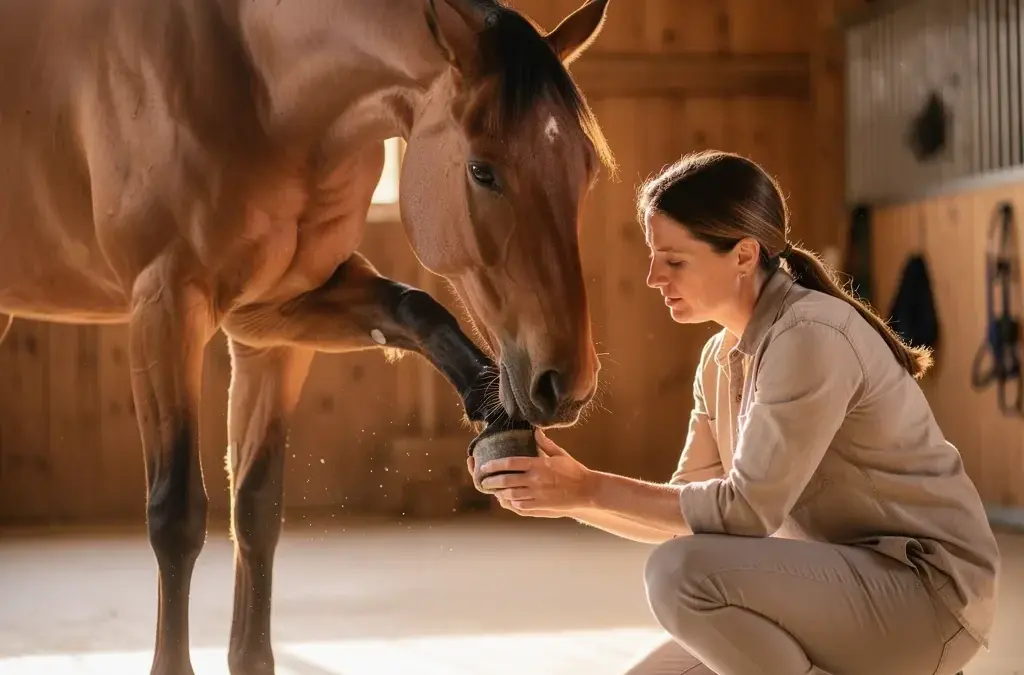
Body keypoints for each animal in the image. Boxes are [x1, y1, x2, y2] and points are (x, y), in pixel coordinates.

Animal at [0, 0, 616, 672]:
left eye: (585, 168)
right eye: (482, 170)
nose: (566, 384)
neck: (259, 83)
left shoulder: (274, 323)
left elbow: (258, 508)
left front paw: (489, 406)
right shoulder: (164, 309)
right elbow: (175, 515)